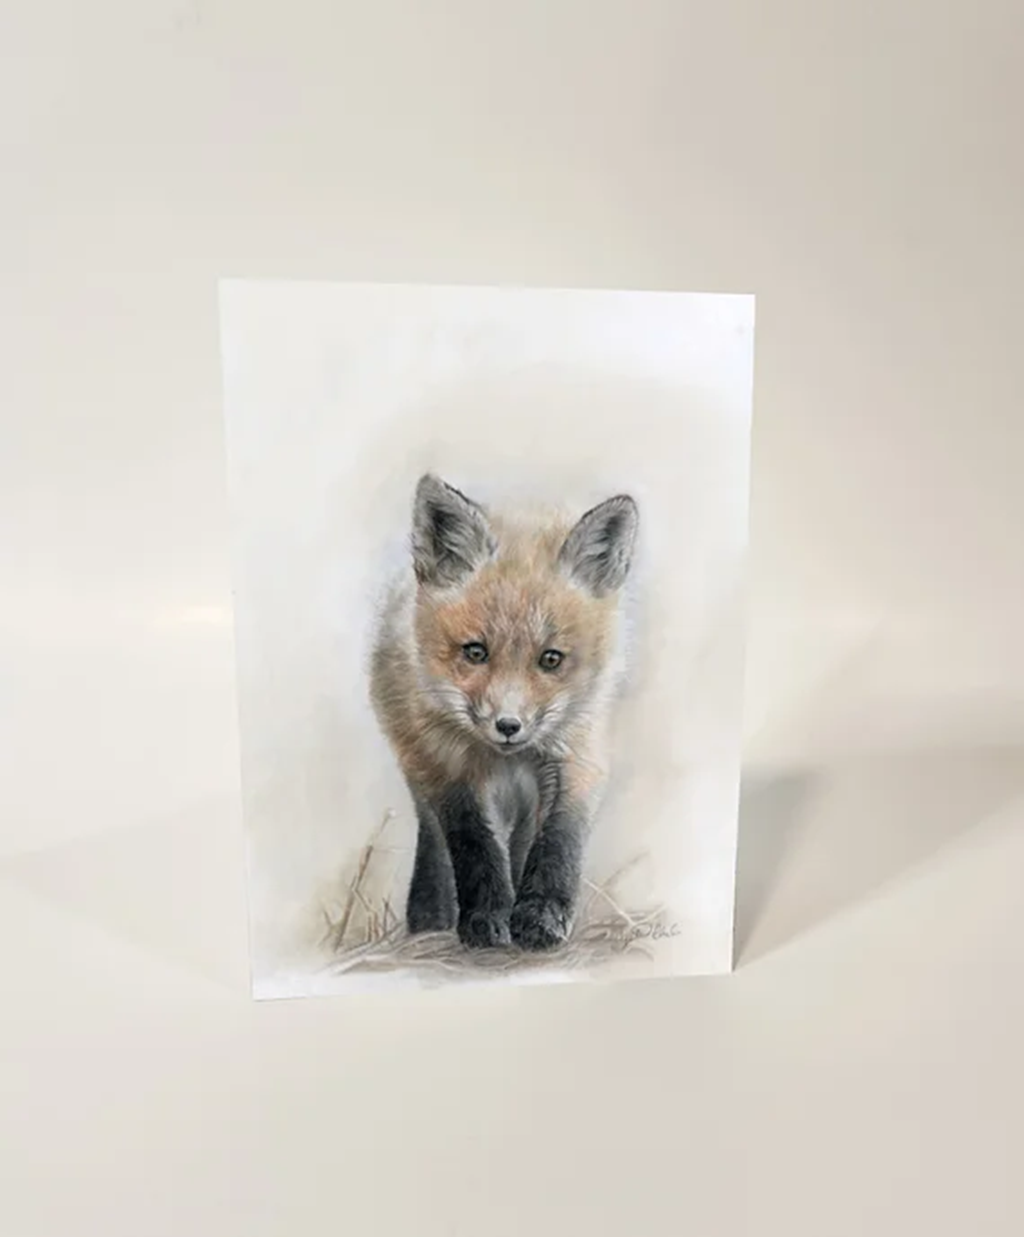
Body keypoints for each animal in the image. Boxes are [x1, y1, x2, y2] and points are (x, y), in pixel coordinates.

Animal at [369, 473, 638, 951]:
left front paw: (539, 917)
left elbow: (558, 844)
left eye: (551, 659)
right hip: (418, 760)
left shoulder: (577, 755)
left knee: (522, 840)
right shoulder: (450, 767)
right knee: (436, 838)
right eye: (475, 652)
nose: (508, 726)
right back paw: (431, 918)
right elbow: (474, 845)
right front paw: (486, 918)